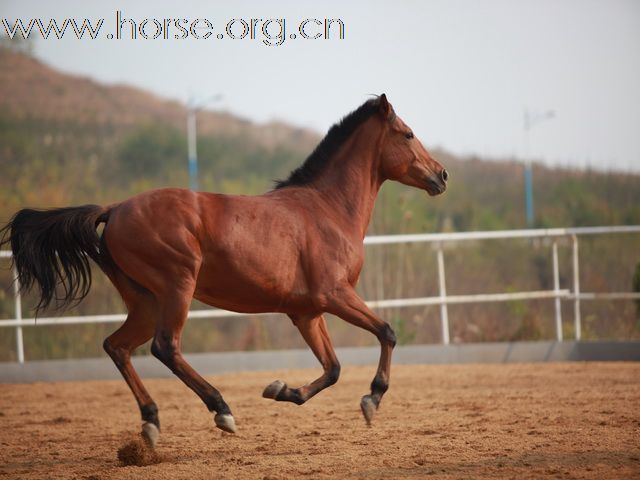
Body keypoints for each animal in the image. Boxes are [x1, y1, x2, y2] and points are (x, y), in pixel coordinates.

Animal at [2, 94, 448, 446]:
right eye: (408, 134)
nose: (441, 175)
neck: (327, 209)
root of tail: (115, 210)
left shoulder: (305, 312)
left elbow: (333, 368)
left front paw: (279, 389)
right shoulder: (335, 295)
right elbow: (386, 332)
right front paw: (372, 399)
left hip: (145, 302)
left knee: (117, 346)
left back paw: (151, 422)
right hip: (177, 287)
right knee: (165, 347)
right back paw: (222, 410)